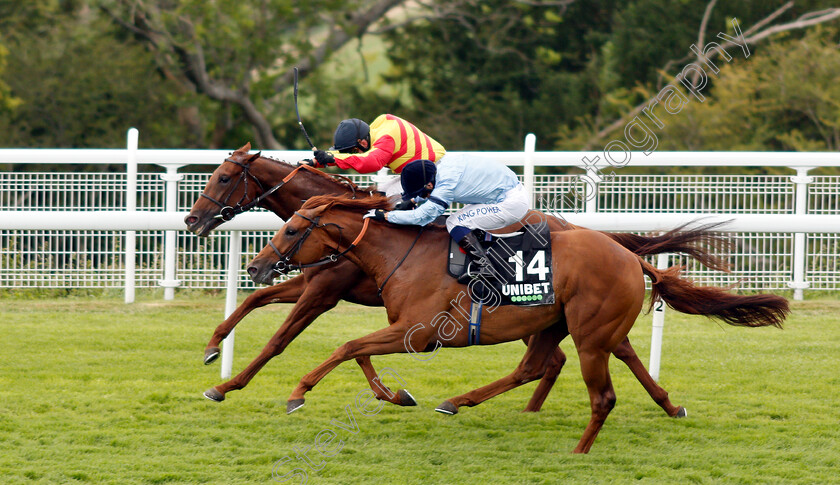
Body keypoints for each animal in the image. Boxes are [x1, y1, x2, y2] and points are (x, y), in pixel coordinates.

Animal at [184, 143, 728, 412]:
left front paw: (229, 385)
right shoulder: (325, 286)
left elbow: (286, 340)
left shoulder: (328, 292)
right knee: (575, 358)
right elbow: (257, 305)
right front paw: (212, 347)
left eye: (224, 177)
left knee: (566, 360)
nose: (191, 220)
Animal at [246, 194, 792, 454]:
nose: (256, 266)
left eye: (291, 229)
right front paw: (395, 395)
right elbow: (356, 350)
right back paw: (458, 402)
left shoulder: (418, 334)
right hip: (557, 322)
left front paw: (297, 393)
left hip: (588, 333)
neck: (401, 255)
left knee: (598, 393)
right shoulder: (405, 330)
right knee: (536, 367)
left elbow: (347, 347)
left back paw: (579, 450)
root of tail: (629, 256)